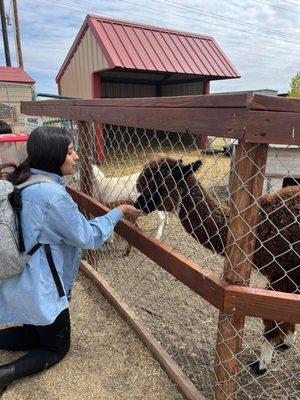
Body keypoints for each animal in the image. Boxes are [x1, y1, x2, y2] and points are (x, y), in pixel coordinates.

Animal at [136, 157, 300, 376]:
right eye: (142, 186)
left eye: (159, 187)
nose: (138, 204)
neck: (263, 228)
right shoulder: (289, 279)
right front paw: (286, 342)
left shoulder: (286, 275)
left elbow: (273, 320)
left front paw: (261, 364)